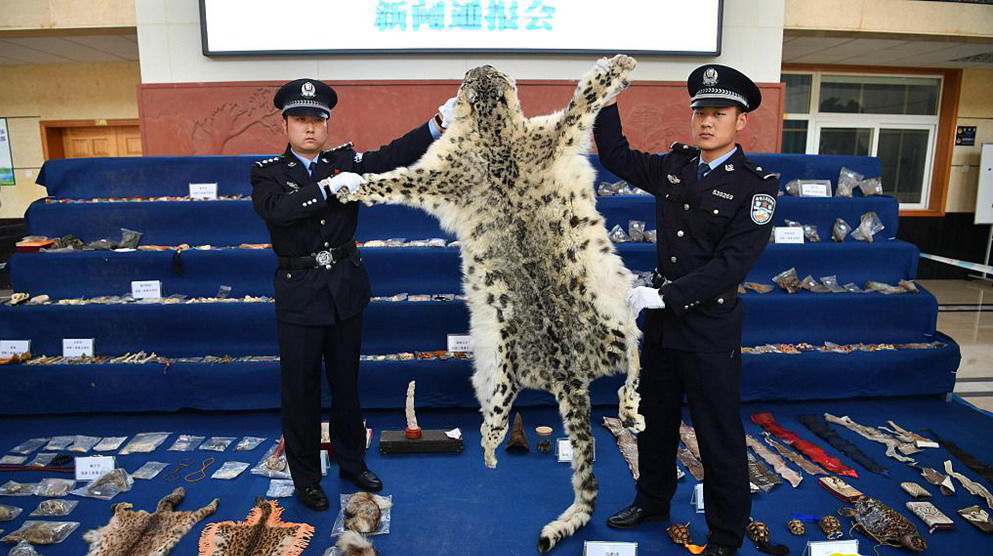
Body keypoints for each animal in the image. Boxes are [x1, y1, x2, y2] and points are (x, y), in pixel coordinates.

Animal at [337, 54, 644, 552]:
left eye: (488, 74)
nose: (480, 63)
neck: (492, 132)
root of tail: (568, 373)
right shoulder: (447, 172)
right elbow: (390, 180)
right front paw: (346, 184)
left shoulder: (527, 143)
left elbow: (585, 99)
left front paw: (618, 63)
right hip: (567, 353)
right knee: (624, 374)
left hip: (564, 351)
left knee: (623, 372)